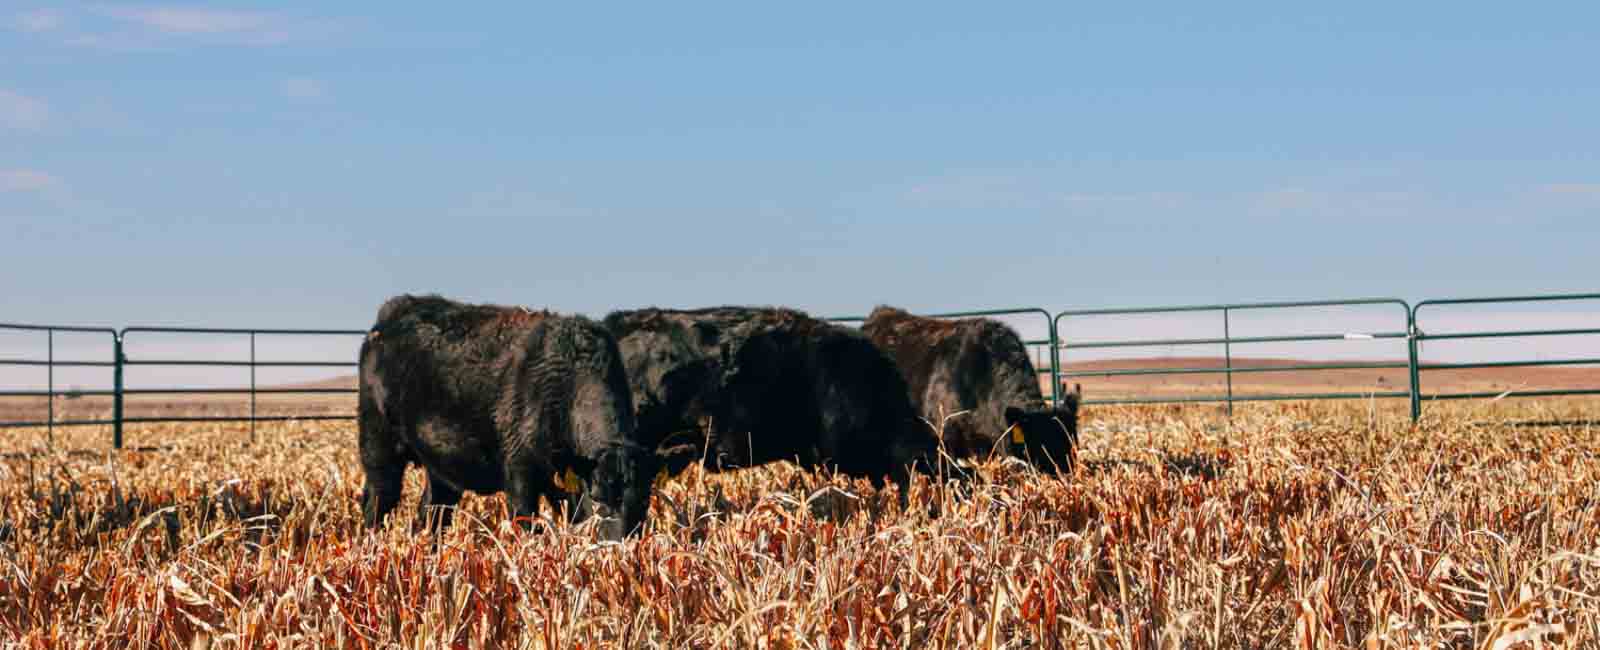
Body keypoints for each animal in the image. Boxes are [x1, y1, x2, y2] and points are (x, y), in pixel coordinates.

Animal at [360, 294, 659, 537]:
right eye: (599, 499)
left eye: (644, 502)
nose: (618, 546)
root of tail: (388, 316)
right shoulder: (520, 473)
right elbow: (527, 525)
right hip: (379, 447)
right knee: (378, 502)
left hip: (441, 466)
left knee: (433, 513)